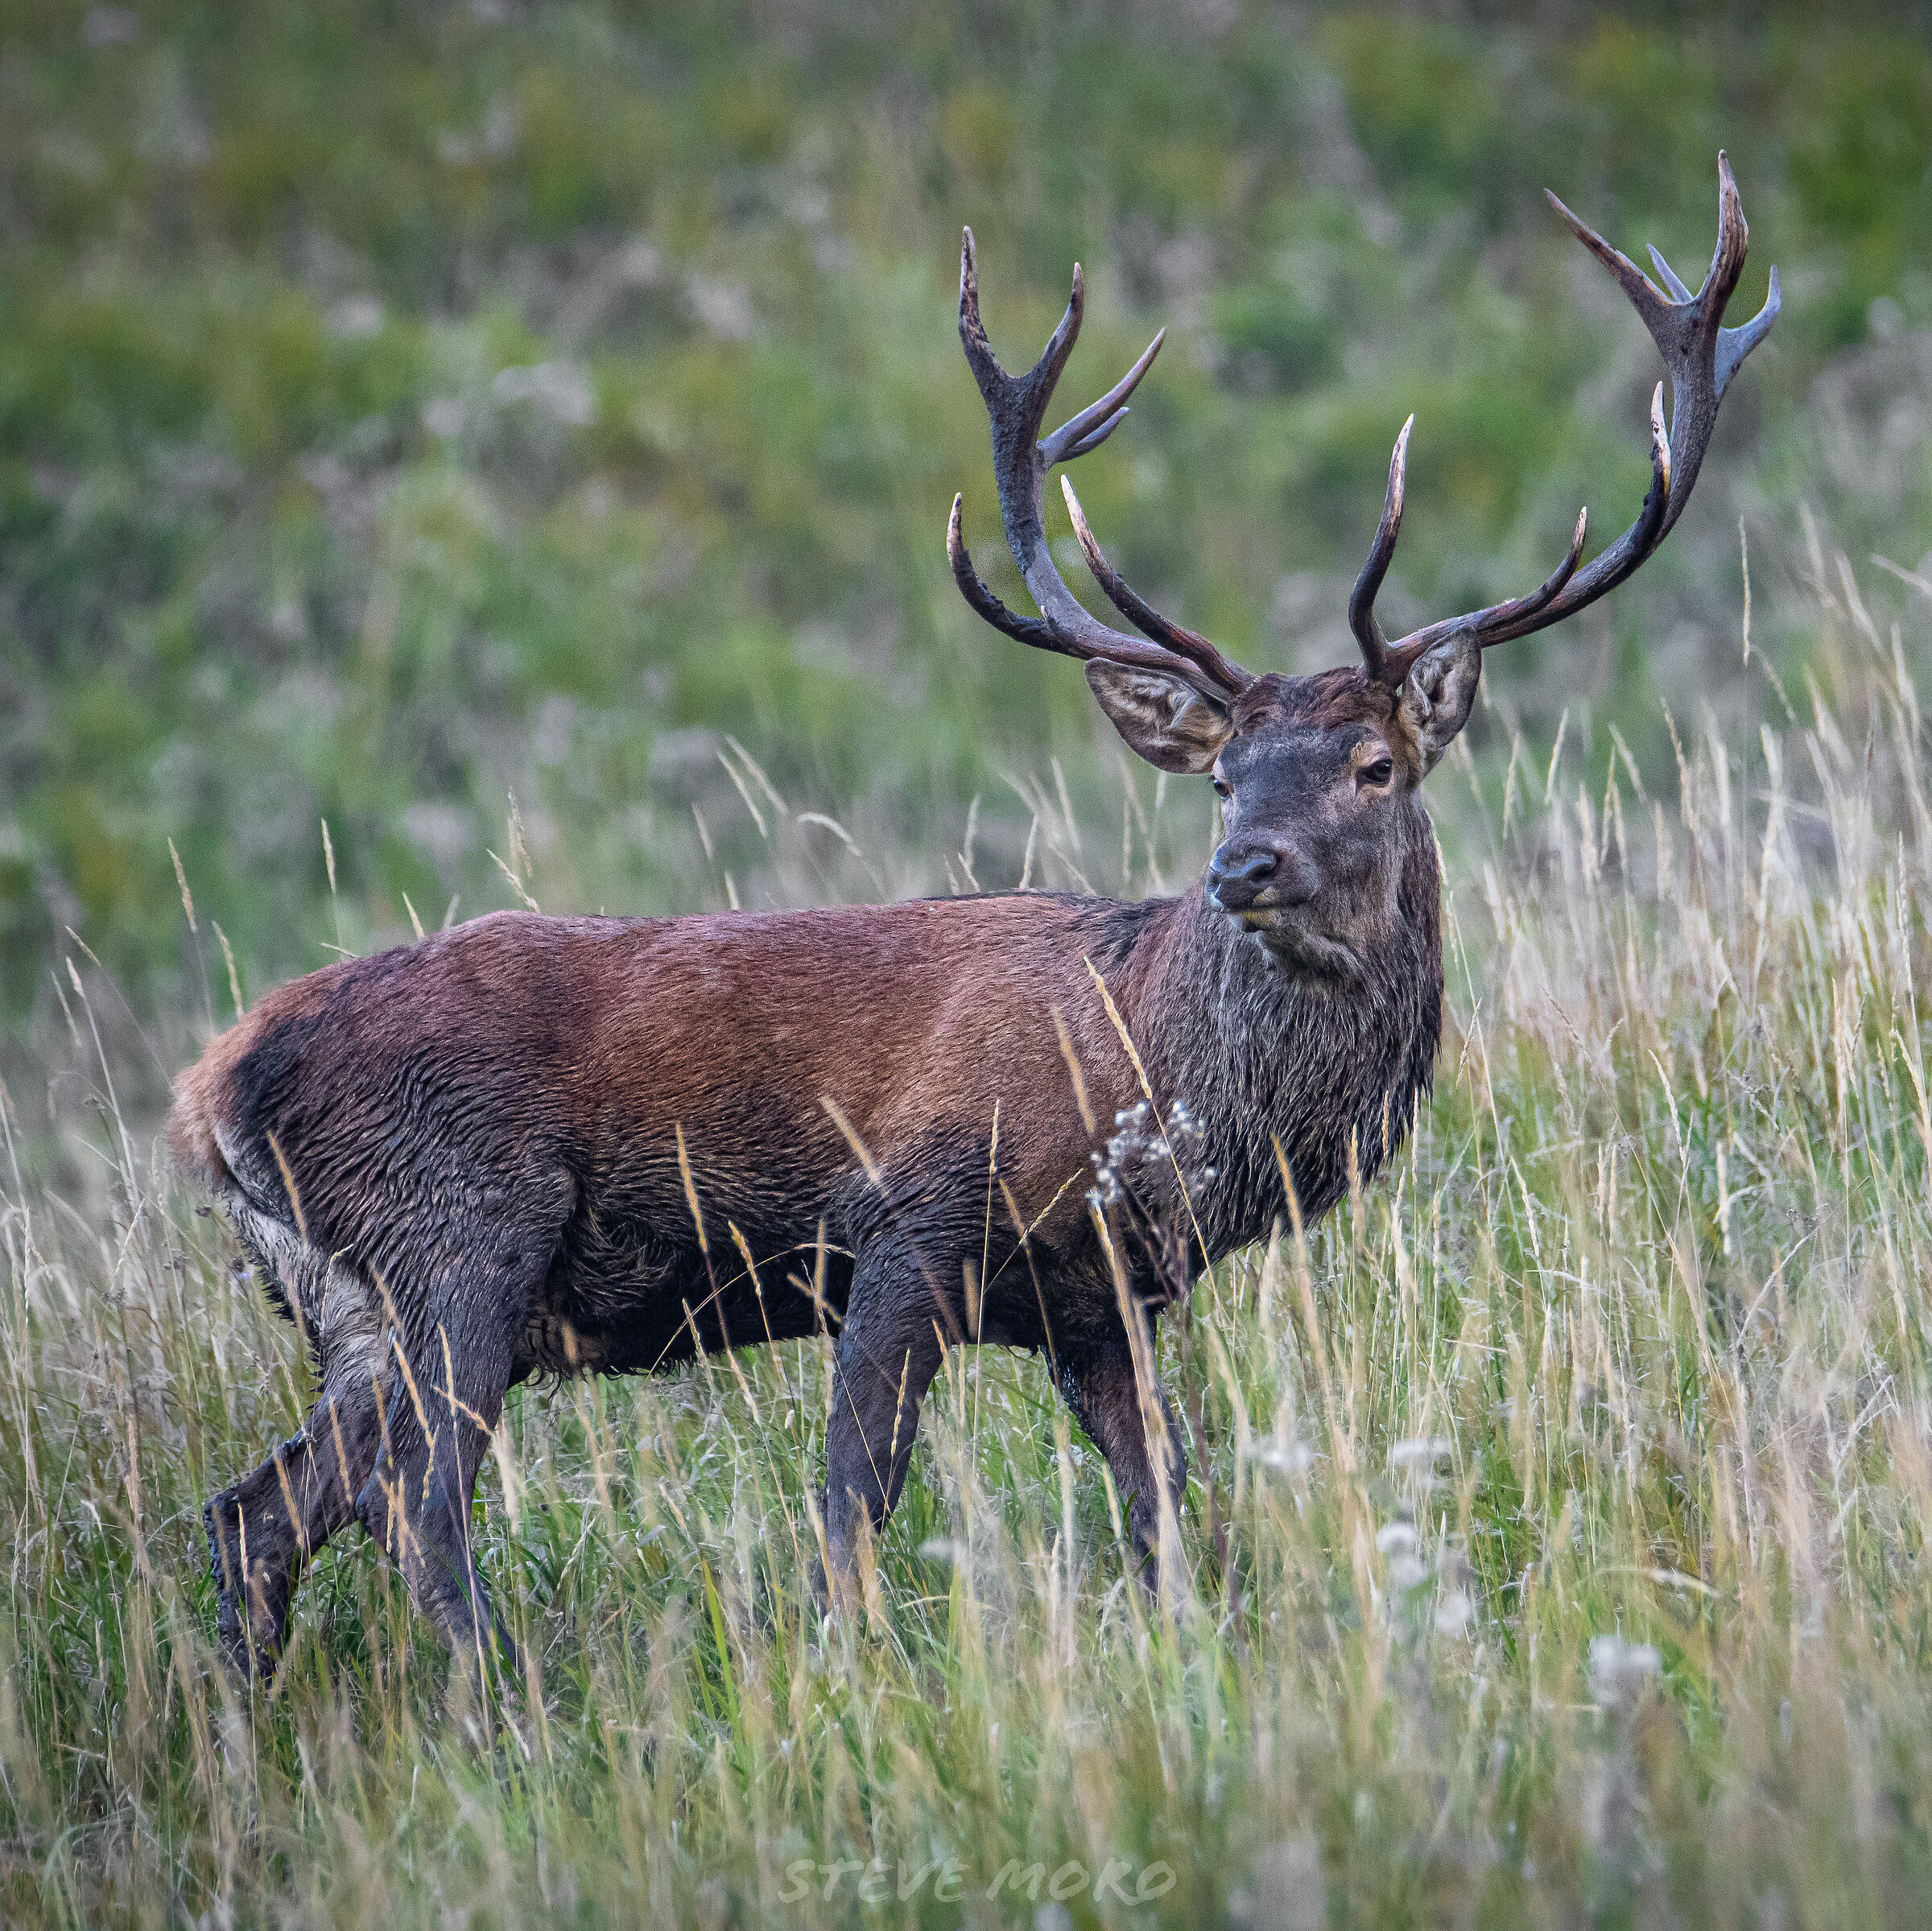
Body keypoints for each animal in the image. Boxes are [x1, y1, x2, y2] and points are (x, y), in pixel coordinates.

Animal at [171, 156, 1775, 1679]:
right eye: (1226, 774)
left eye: (1374, 765)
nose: (1242, 868)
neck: (1149, 1075)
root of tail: (215, 1086)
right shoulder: (911, 1217)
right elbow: (853, 1488)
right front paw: (853, 1672)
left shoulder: (1102, 1297)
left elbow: (1164, 1502)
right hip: (457, 1238)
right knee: (418, 1502)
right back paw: (503, 1700)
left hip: (362, 1304)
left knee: (260, 1510)